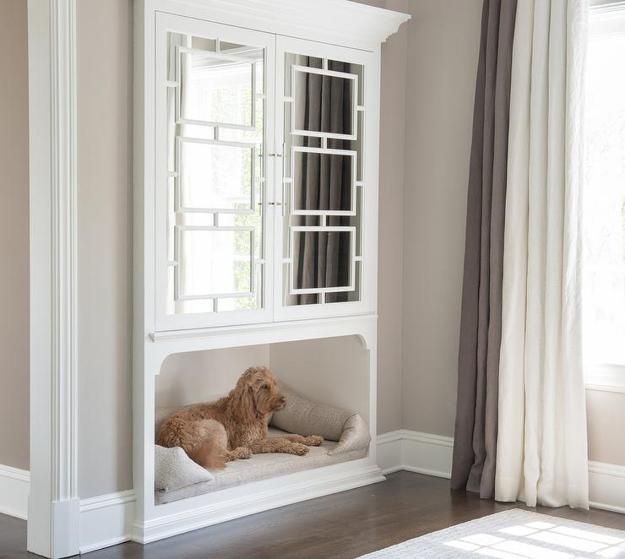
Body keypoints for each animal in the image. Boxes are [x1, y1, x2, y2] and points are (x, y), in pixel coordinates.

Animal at [156, 368, 324, 468]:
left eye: (275, 383)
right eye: (264, 386)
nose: (284, 399)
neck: (251, 411)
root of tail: (171, 439)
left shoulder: (263, 437)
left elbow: (293, 435)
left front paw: (310, 439)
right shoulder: (250, 442)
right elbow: (280, 441)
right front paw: (298, 447)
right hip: (217, 428)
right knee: (221, 456)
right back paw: (241, 453)